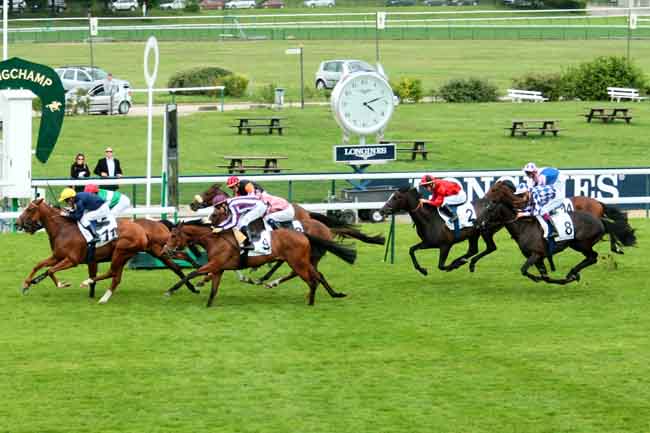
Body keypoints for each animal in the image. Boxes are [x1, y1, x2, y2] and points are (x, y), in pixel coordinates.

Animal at [15, 198, 197, 300]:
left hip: (124, 251)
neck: (63, 229)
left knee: (113, 273)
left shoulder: (72, 260)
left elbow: (50, 271)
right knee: (175, 264)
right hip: (155, 251)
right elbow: (39, 265)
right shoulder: (58, 256)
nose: (17, 223)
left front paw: (61, 284)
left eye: (30, 209)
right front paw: (27, 283)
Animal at [161, 219, 354, 308]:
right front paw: (208, 304)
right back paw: (334, 294)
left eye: (173, 235)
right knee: (318, 276)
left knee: (312, 280)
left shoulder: (214, 265)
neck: (215, 240)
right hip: (304, 262)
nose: (165, 250)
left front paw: (171, 290)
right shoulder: (218, 269)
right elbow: (213, 289)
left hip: (297, 263)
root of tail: (303, 234)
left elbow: (192, 273)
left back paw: (310, 301)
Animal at [476, 181, 632, 284]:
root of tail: (598, 204)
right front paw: (549, 278)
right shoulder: (537, 258)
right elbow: (542, 275)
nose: (479, 223)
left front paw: (541, 278)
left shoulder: (537, 254)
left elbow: (525, 270)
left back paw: (574, 272)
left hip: (580, 244)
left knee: (593, 257)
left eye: (494, 189)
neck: (523, 227)